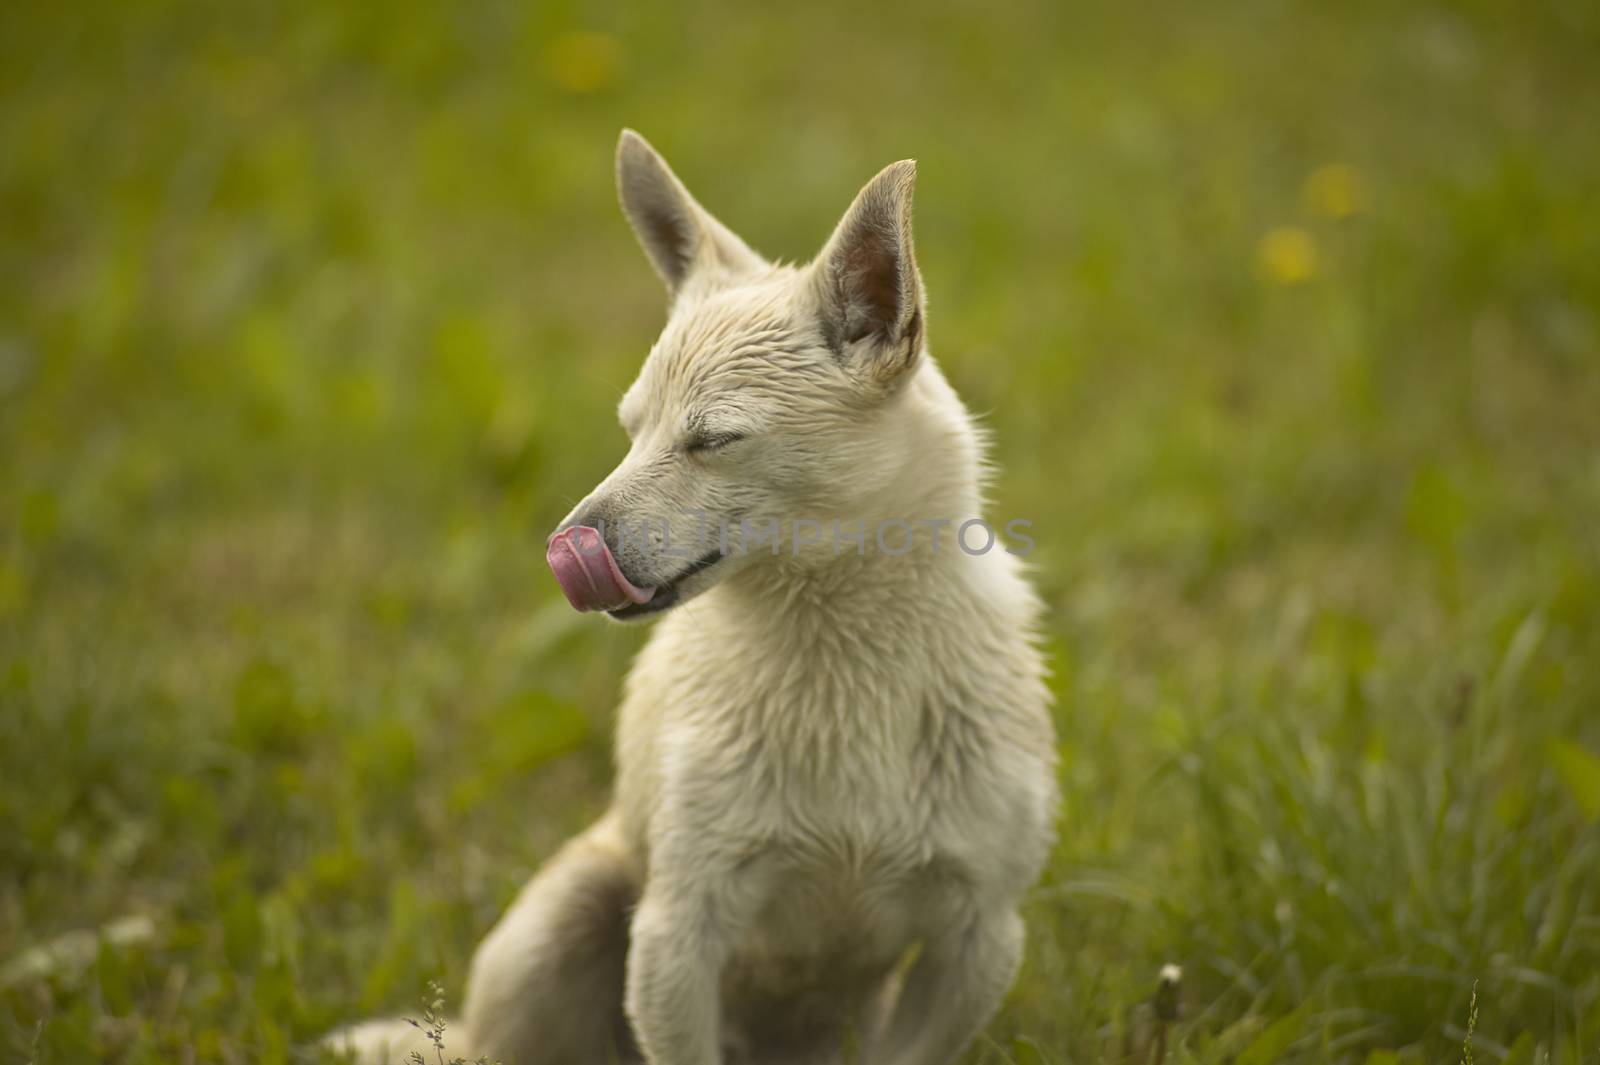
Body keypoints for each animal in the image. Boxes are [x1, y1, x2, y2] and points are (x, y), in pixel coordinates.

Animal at [329, 128, 1056, 1055]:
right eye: (630, 431)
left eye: (712, 439)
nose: (566, 546)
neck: (840, 657)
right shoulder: (676, 935)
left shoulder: (980, 938)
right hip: (566, 920)